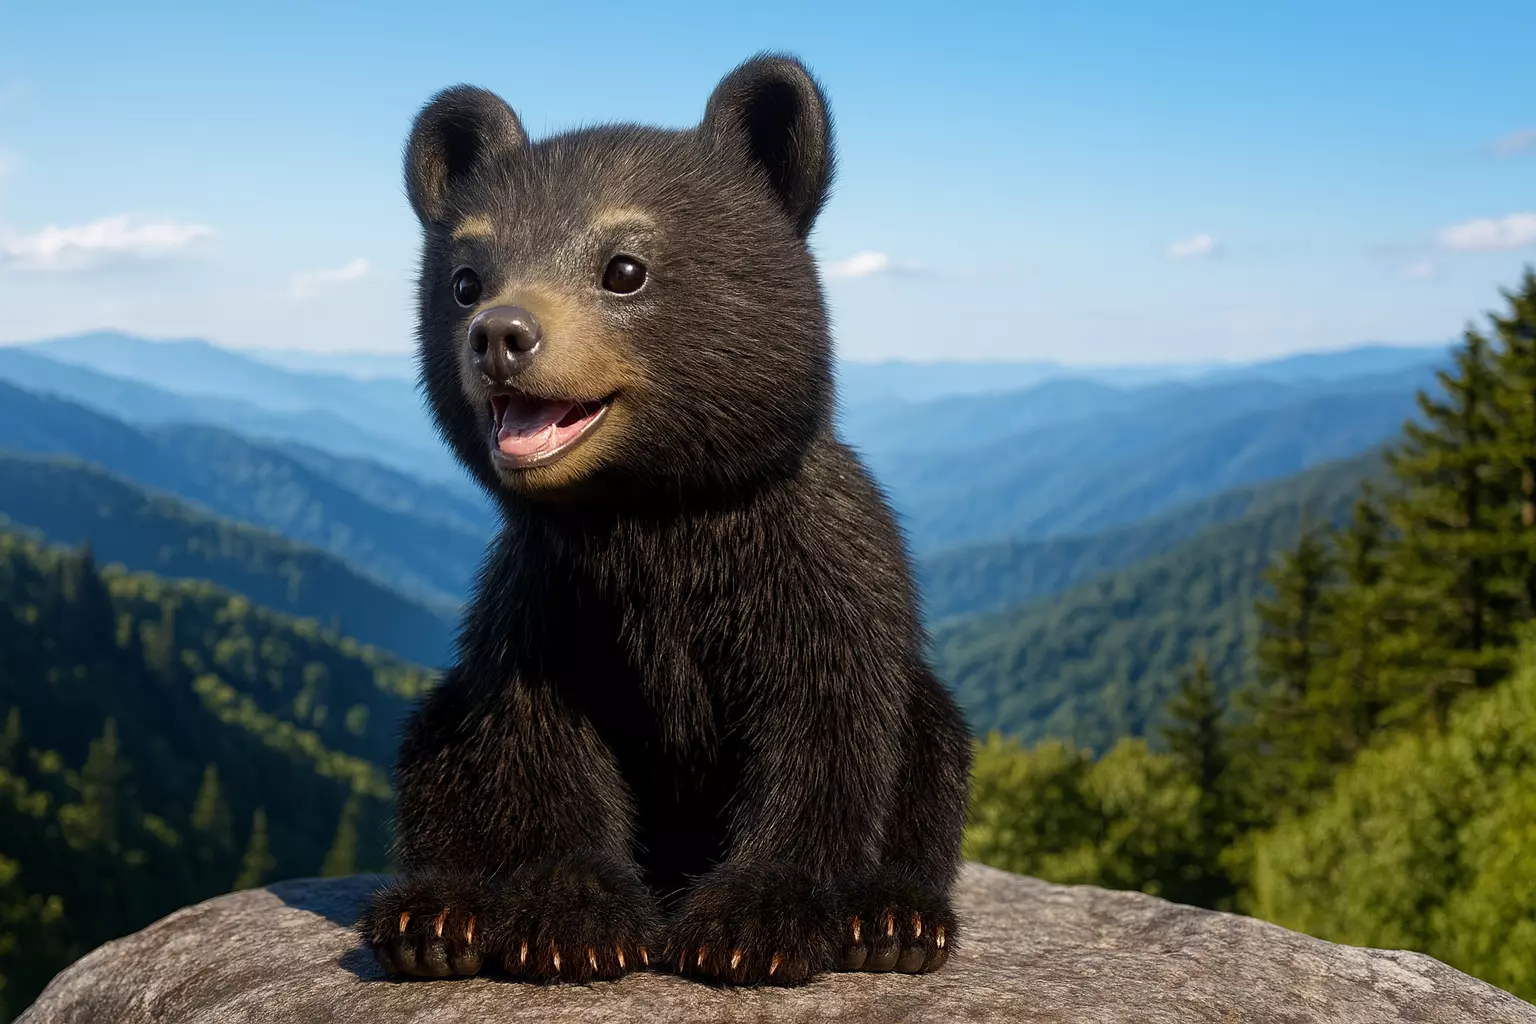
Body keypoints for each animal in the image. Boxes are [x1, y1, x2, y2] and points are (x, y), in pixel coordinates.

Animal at [361, 52, 974, 988]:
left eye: (624, 268)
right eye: (464, 280)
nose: (499, 335)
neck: (652, 518)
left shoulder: (820, 573)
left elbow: (824, 736)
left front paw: (753, 921)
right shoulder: (545, 599)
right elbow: (542, 744)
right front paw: (574, 919)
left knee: (934, 743)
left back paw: (896, 918)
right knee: (436, 743)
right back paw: (435, 914)